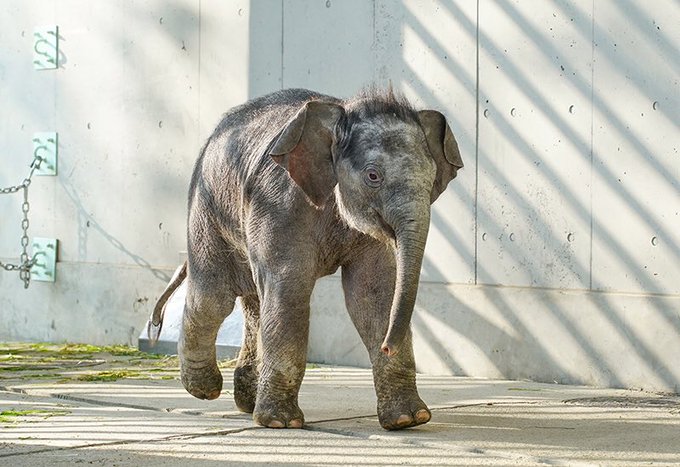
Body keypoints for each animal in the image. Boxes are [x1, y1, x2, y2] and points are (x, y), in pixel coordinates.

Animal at [151, 88, 464, 432]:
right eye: (373, 176)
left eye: (432, 179)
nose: (387, 345)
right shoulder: (279, 203)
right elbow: (290, 288)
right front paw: (281, 423)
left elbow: (373, 295)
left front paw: (408, 420)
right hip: (207, 209)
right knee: (214, 297)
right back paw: (205, 389)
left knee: (253, 302)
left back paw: (247, 401)